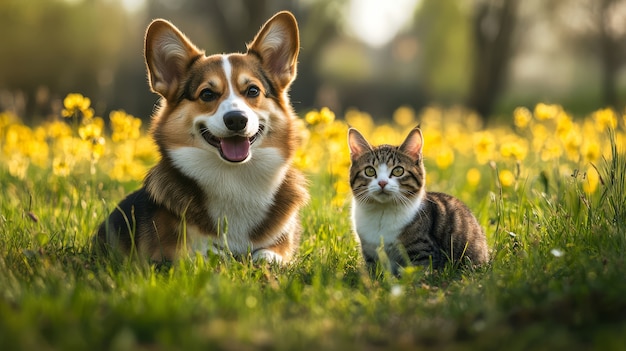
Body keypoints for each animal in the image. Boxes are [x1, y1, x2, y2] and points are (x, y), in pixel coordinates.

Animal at [95, 11, 308, 264]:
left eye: (253, 91)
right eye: (207, 94)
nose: (236, 119)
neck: (234, 179)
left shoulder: (282, 243)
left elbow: (270, 253)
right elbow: (200, 252)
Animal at [346, 126, 488, 276]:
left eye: (398, 171)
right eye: (369, 171)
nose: (382, 183)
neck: (382, 212)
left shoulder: (423, 251)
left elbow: (416, 273)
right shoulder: (369, 253)